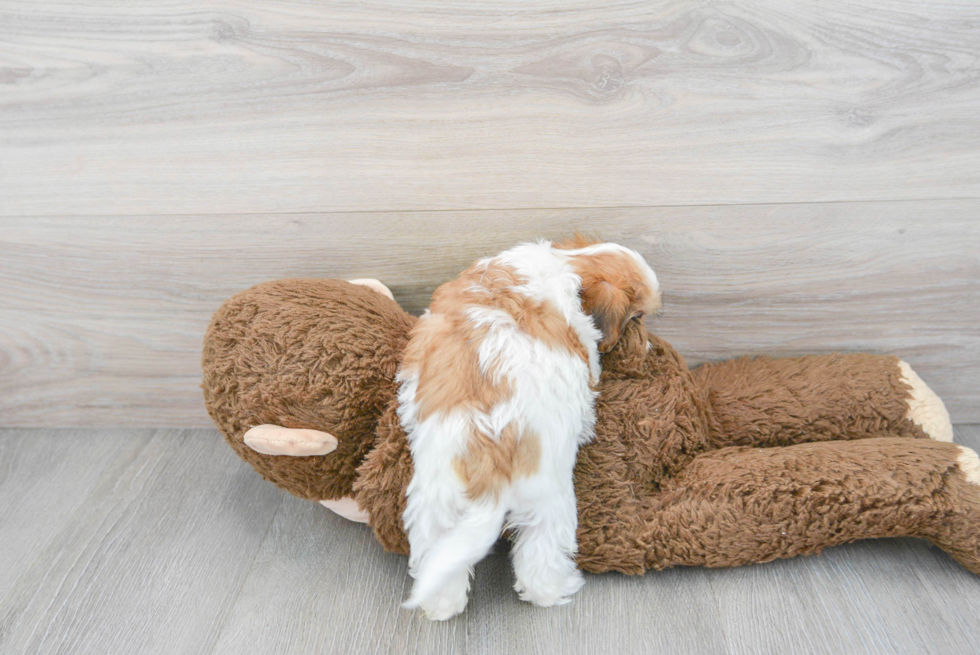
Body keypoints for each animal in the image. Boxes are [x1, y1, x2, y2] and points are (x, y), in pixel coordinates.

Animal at [396, 236, 660, 620]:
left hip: (437, 503)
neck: (568, 263)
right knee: (541, 558)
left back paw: (441, 605)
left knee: (439, 555)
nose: (650, 343)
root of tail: (491, 459)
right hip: (549, 501)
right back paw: (557, 589)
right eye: (637, 316)